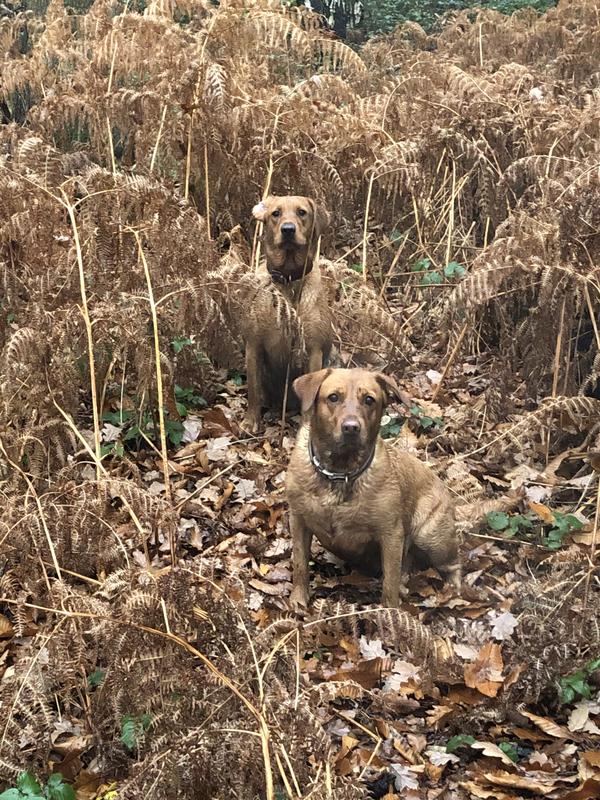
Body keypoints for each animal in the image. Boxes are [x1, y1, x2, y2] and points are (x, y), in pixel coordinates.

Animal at [243, 198, 336, 434]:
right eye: (275, 213)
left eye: (302, 212)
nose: (288, 229)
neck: (288, 280)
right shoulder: (253, 345)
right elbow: (253, 388)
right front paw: (250, 421)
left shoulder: (313, 350)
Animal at [284, 368, 460, 608]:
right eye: (333, 397)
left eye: (369, 400)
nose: (351, 428)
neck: (340, 474)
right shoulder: (298, 520)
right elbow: (300, 564)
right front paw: (299, 599)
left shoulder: (391, 534)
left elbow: (390, 582)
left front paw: (390, 612)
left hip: (430, 535)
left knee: (454, 564)